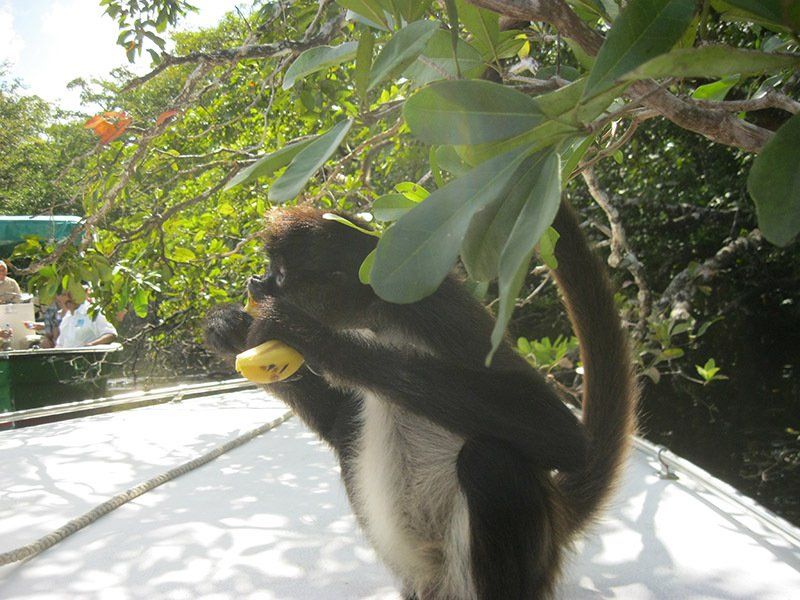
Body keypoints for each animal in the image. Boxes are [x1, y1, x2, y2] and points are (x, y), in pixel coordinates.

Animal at [205, 199, 637, 600]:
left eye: (278, 275)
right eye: (268, 270)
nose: (254, 281)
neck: (376, 318)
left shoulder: (434, 309)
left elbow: (564, 437)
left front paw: (312, 339)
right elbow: (335, 420)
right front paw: (231, 329)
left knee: (492, 462)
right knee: (349, 433)